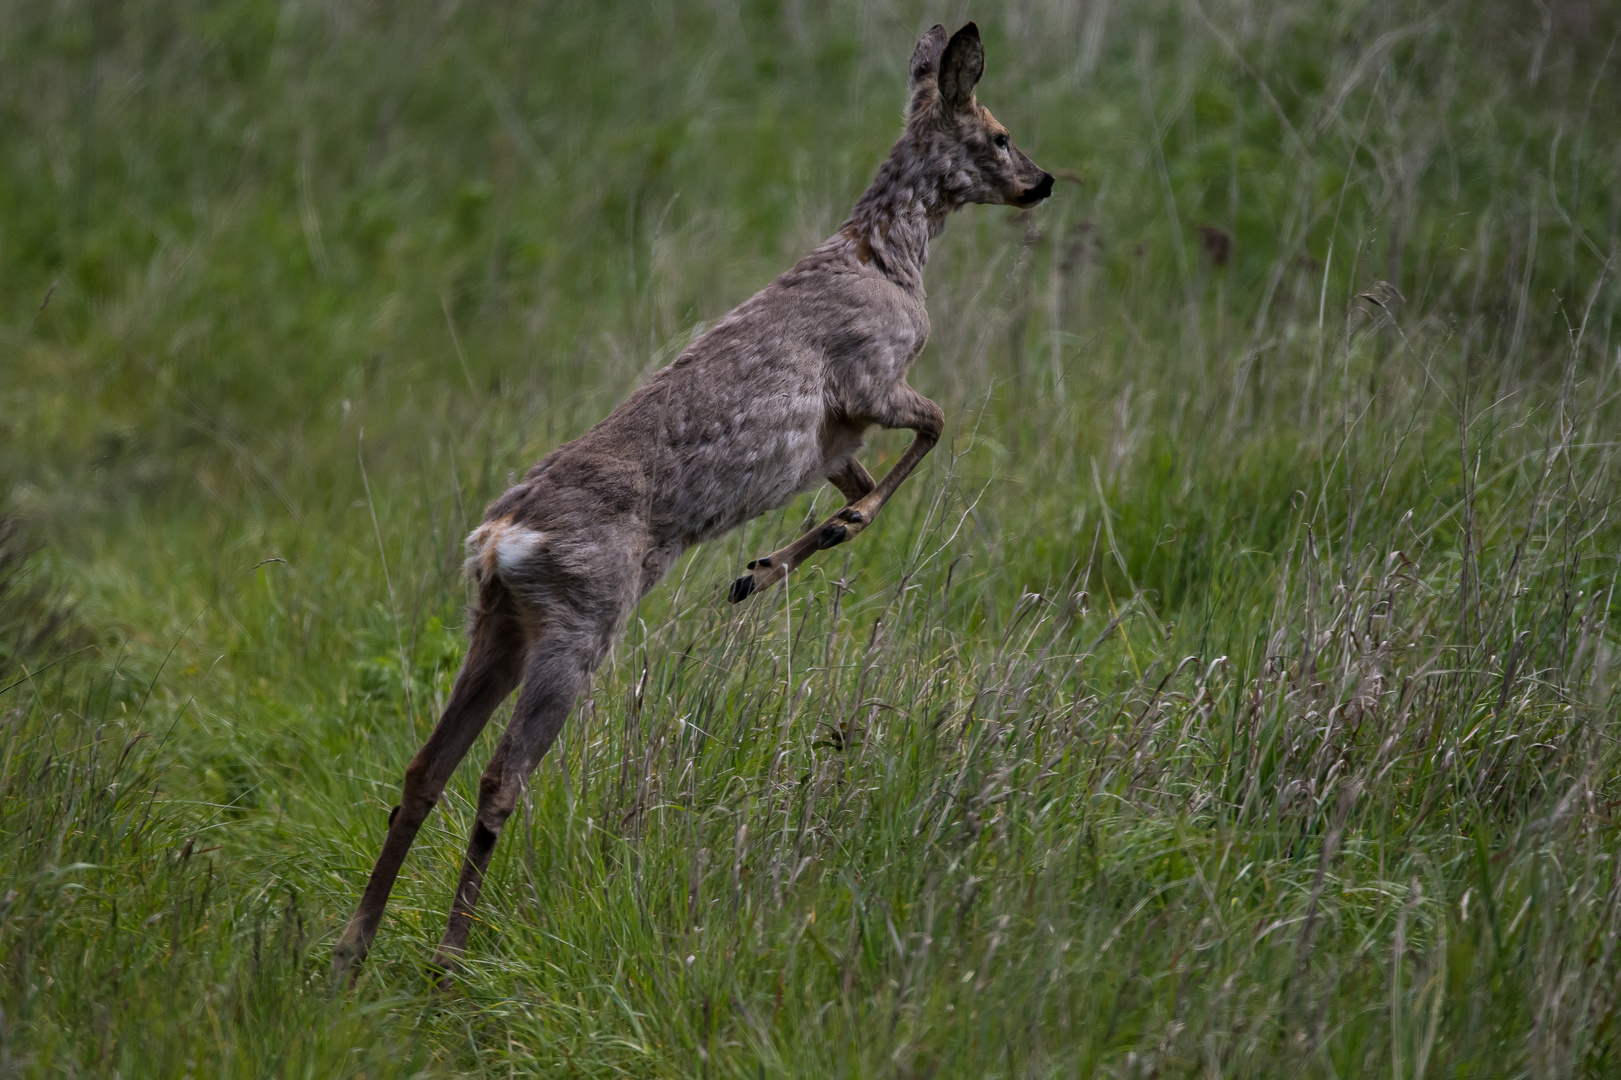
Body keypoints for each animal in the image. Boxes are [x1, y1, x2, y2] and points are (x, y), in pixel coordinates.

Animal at [335, 21, 1056, 979]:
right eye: (1000, 132)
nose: (1042, 181)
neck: (888, 258)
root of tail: (500, 538)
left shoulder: (830, 444)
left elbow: (869, 483)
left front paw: (765, 567)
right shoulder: (869, 379)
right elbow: (936, 428)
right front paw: (777, 560)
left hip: (498, 623)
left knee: (424, 770)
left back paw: (352, 950)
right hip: (581, 622)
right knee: (498, 779)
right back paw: (450, 959)